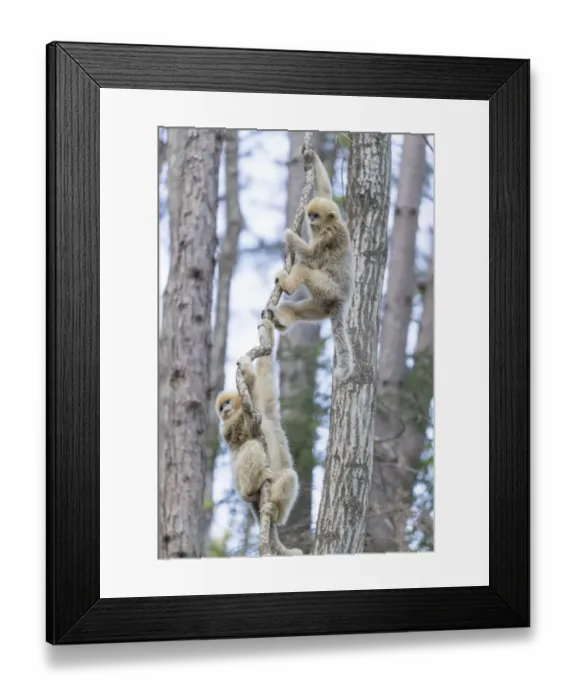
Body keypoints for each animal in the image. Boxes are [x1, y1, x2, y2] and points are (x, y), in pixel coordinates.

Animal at [215, 319, 302, 556]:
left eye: (227, 403)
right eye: (221, 407)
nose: (225, 409)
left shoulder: (265, 403)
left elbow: (266, 371)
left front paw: (267, 327)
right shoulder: (228, 427)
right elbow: (240, 433)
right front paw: (247, 373)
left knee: (289, 475)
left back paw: (272, 511)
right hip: (239, 483)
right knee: (252, 446)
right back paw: (252, 488)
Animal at [267, 152, 355, 381]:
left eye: (316, 215)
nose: (310, 219)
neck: (330, 225)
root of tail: (341, 301)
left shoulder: (328, 237)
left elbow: (311, 257)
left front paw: (289, 235)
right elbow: (326, 190)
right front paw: (312, 156)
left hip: (327, 288)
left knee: (305, 268)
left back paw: (287, 285)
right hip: (320, 306)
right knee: (294, 309)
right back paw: (280, 319)